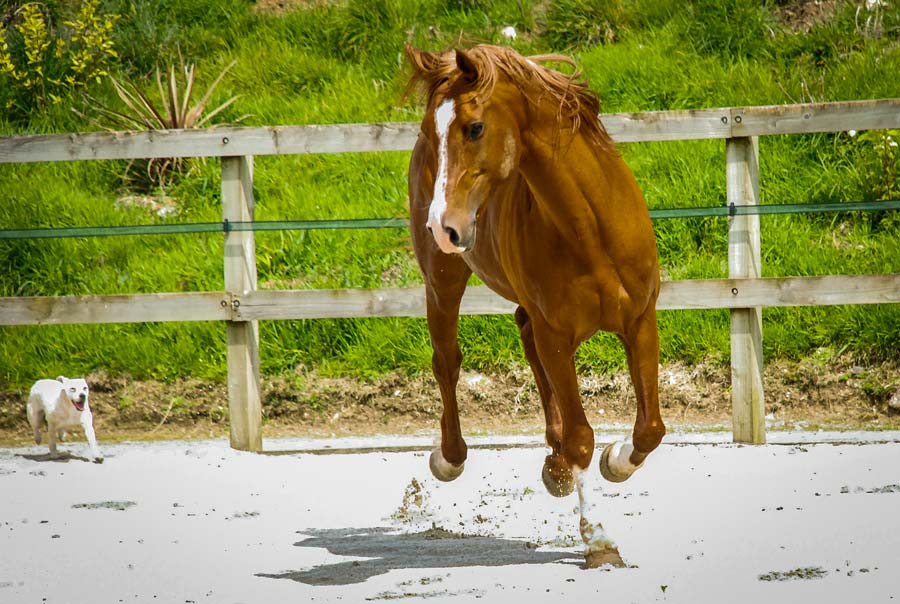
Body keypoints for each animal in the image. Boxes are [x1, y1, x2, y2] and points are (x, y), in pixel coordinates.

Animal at [404, 43, 664, 568]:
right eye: (429, 131)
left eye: (474, 128)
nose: (441, 225)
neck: (590, 229)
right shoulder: (557, 337)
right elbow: (582, 435)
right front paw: (599, 542)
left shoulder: (640, 320)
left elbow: (650, 427)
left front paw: (615, 461)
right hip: (443, 280)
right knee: (447, 361)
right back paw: (449, 457)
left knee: (523, 335)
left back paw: (555, 465)